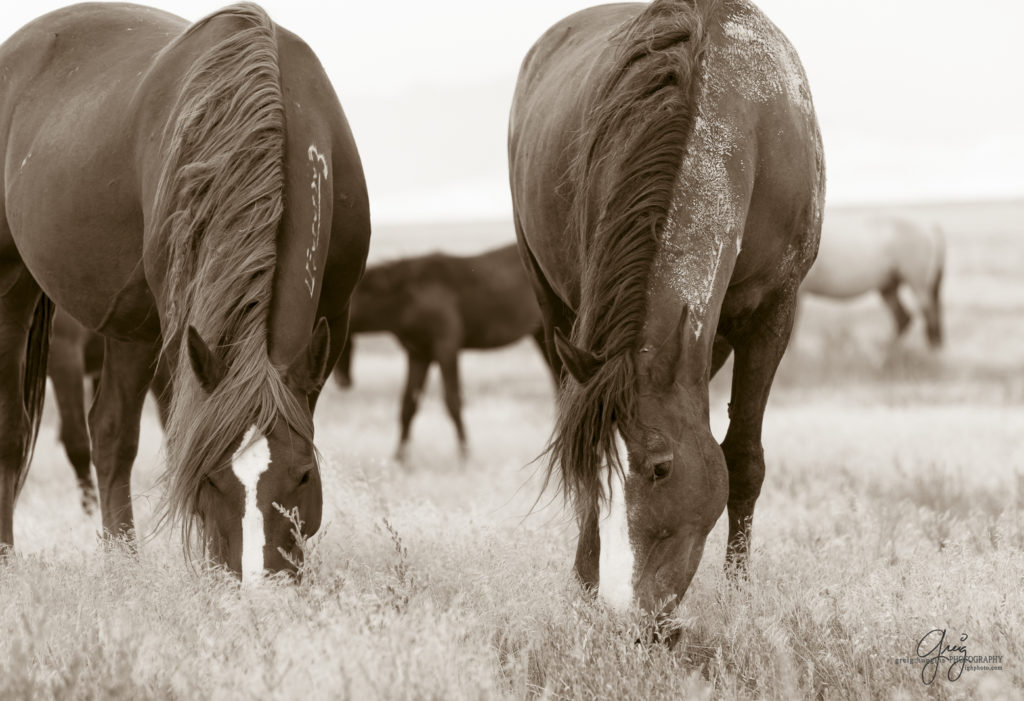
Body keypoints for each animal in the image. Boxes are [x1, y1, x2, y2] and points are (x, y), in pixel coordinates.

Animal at [1, 2, 372, 581]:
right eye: (211, 479)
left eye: (304, 476)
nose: (260, 583)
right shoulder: (183, 327)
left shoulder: (333, 320)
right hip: (13, 289)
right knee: (14, 430)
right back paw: (9, 559)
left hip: (131, 322)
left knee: (110, 433)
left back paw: (124, 564)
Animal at [333, 243, 552, 462]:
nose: (343, 382)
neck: (410, 298)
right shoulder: (418, 354)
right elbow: (408, 405)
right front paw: (399, 458)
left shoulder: (446, 349)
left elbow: (453, 402)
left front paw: (465, 455)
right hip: (541, 335)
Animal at [509, 0, 823, 614]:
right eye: (595, 469)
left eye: (661, 468)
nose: (624, 610)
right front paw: (585, 578)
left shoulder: (775, 313)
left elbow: (743, 458)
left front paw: (738, 594)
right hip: (551, 305)